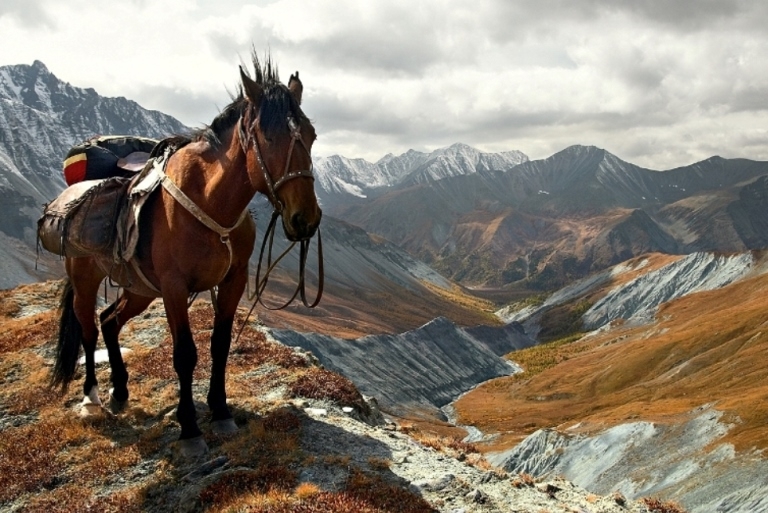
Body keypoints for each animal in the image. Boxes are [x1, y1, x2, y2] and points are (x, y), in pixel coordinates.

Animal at [48, 55, 320, 456]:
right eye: (268, 136)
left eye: (312, 135)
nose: (306, 219)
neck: (210, 199)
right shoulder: (174, 288)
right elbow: (185, 355)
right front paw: (190, 428)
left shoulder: (234, 279)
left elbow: (220, 344)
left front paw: (220, 412)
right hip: (86, 279)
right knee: (88, 327)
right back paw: (92, 399)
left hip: (140, 289)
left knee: (109, 320)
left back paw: (121, 391)